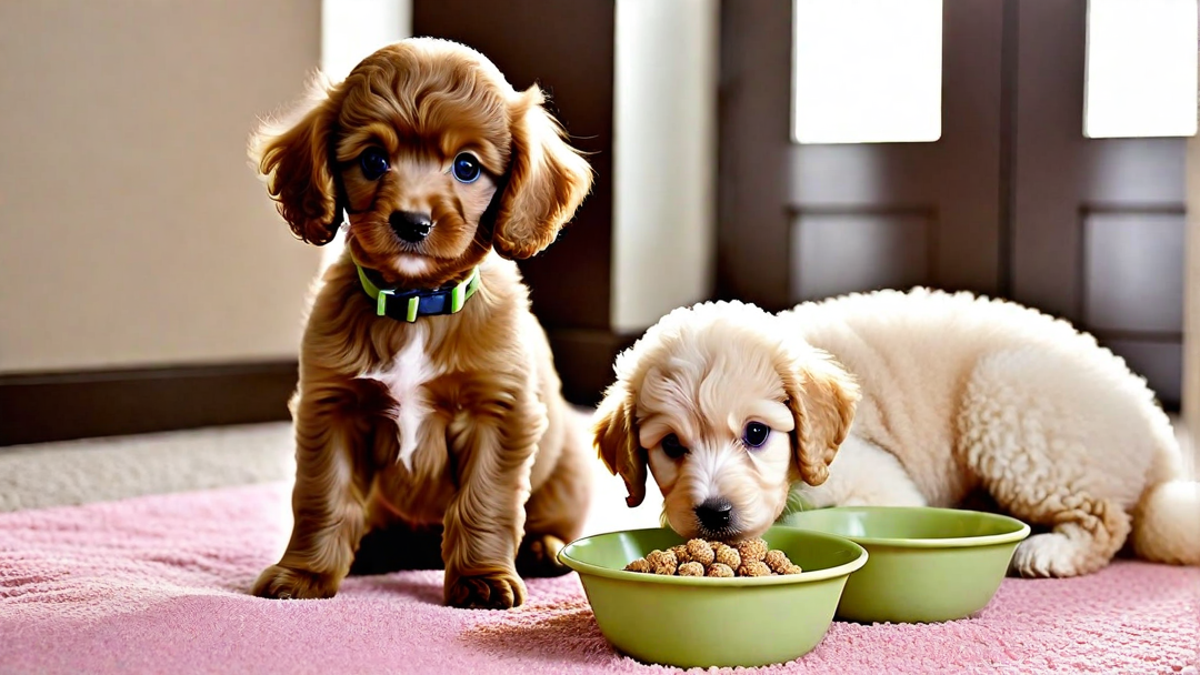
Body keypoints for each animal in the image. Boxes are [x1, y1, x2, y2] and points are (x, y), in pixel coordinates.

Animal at [597, 285, 1200, 576]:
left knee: (1108, 522)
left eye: (757, 433)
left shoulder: (870, 479)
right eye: (671, 446)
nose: (714, 513)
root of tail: (1160, 441)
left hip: (1005, 399)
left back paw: (1050, 552)